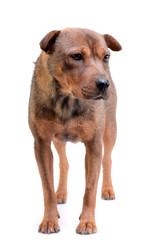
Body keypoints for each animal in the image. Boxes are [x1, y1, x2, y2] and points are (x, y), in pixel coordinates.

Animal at [28, 28, 121, 234]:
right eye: (76, 56)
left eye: (106, 57)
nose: (104, 84)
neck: (67, 99)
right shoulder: (42, 144)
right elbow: (47, 187)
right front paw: (50, 219)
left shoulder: (94, 144)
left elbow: (90, 188)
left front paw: (87, 222)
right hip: (58, 140)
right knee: (64, 163)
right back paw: (61, 193)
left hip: (110, 129)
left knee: (108, 159)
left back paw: (108, 189)